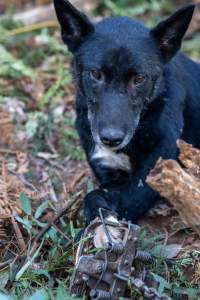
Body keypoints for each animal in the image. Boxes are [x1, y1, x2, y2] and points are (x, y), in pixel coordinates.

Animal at [53, 0, 200, 223]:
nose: (111, 139)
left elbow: (112, 198)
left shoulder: (153, 173)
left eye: (139, 78)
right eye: (96, 74)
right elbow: (96, 194)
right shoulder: (107, 169)